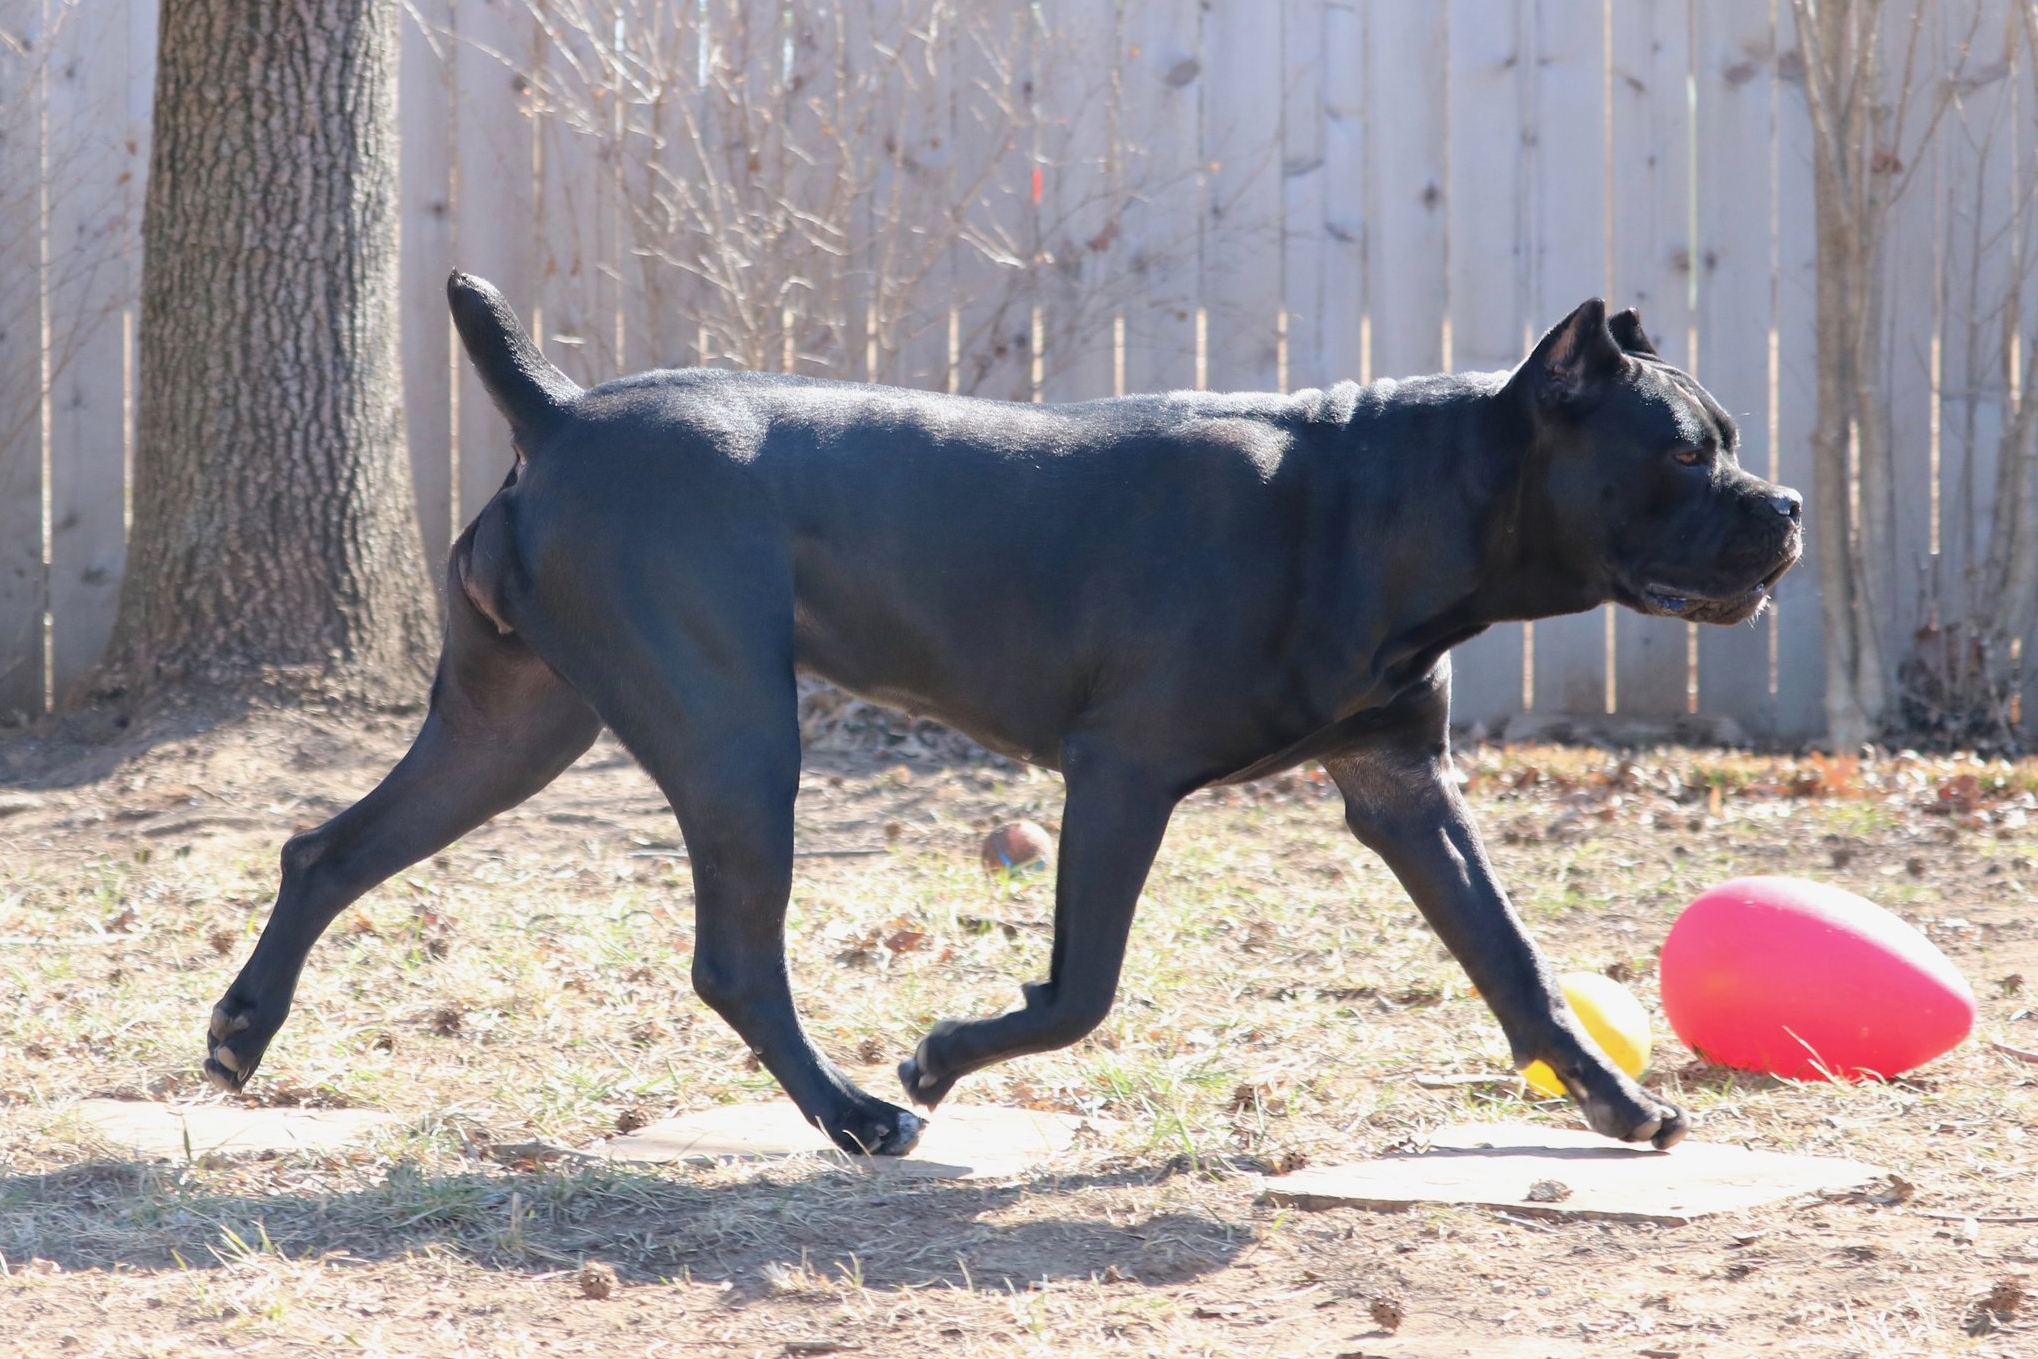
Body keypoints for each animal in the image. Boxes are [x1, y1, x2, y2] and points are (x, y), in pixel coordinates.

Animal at [206, 279, 1801, 1157]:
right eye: (1681, 451)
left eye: (1725, 440)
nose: (1782, 506)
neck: (1405, 498)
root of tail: (558, 413)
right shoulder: (1121, 776)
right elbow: (1083, 986)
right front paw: (935, 1056)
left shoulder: (1403, 786)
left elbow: (1514, 963)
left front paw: (1612, 1105)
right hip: (735, 738)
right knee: (734, 958)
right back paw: (860, 1112)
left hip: (513, 728)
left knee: (325, 851)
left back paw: (236, 1034)